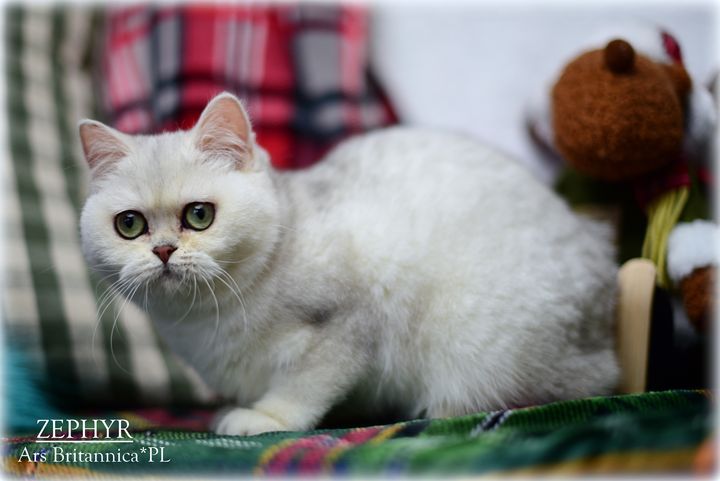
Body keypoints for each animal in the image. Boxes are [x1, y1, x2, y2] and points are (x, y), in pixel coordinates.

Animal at [79, 92, 619, 435]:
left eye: (199, 215)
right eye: (130, 225)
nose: (163, 251)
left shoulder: (347, 324)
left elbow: (303, 387)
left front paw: (263, 419)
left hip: (481, 347)